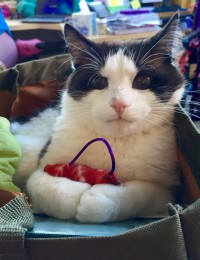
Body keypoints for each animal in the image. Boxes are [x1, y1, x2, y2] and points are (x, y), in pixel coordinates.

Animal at [11, 13, 184, 222]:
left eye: (143, 80)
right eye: (99, 81)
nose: (119, 103)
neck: (114, 141)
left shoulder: (168, 190)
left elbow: (141, 193)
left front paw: (96, 200)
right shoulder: (42, 166)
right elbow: (45, 186)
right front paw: (74, 193)